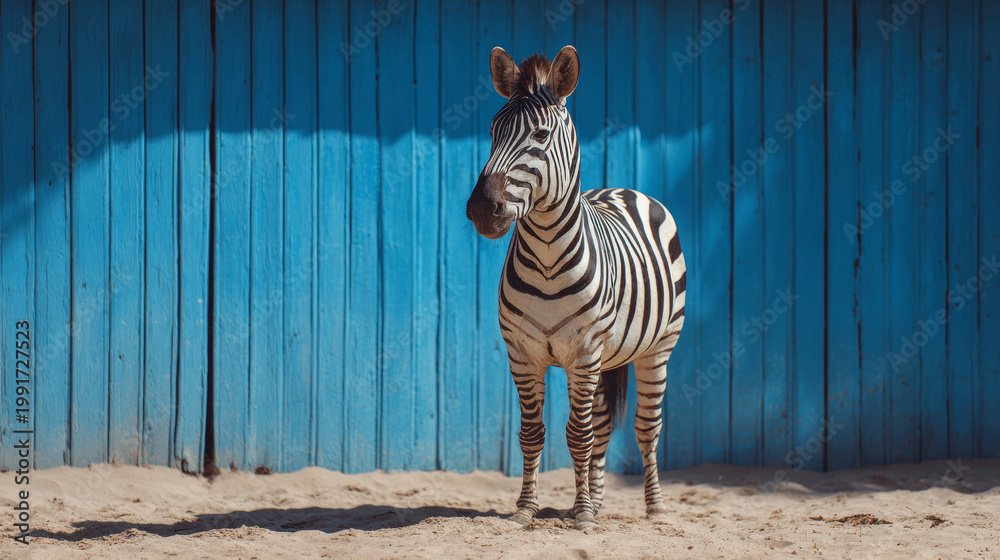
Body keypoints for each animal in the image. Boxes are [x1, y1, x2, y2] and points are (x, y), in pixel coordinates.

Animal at [466, 45, 687, 530]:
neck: (548, 259)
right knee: (603, 424)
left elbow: (578, 435)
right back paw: (597, 501)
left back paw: (654, 508)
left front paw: (583, 515)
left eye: (541, 134)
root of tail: (624, 189)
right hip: (607, 357)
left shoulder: (584, 352)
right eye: (492, 131)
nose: (482, 209)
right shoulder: (523, 352)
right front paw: (528, 509)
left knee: (646, 428)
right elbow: (534, 433)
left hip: (658, 347)